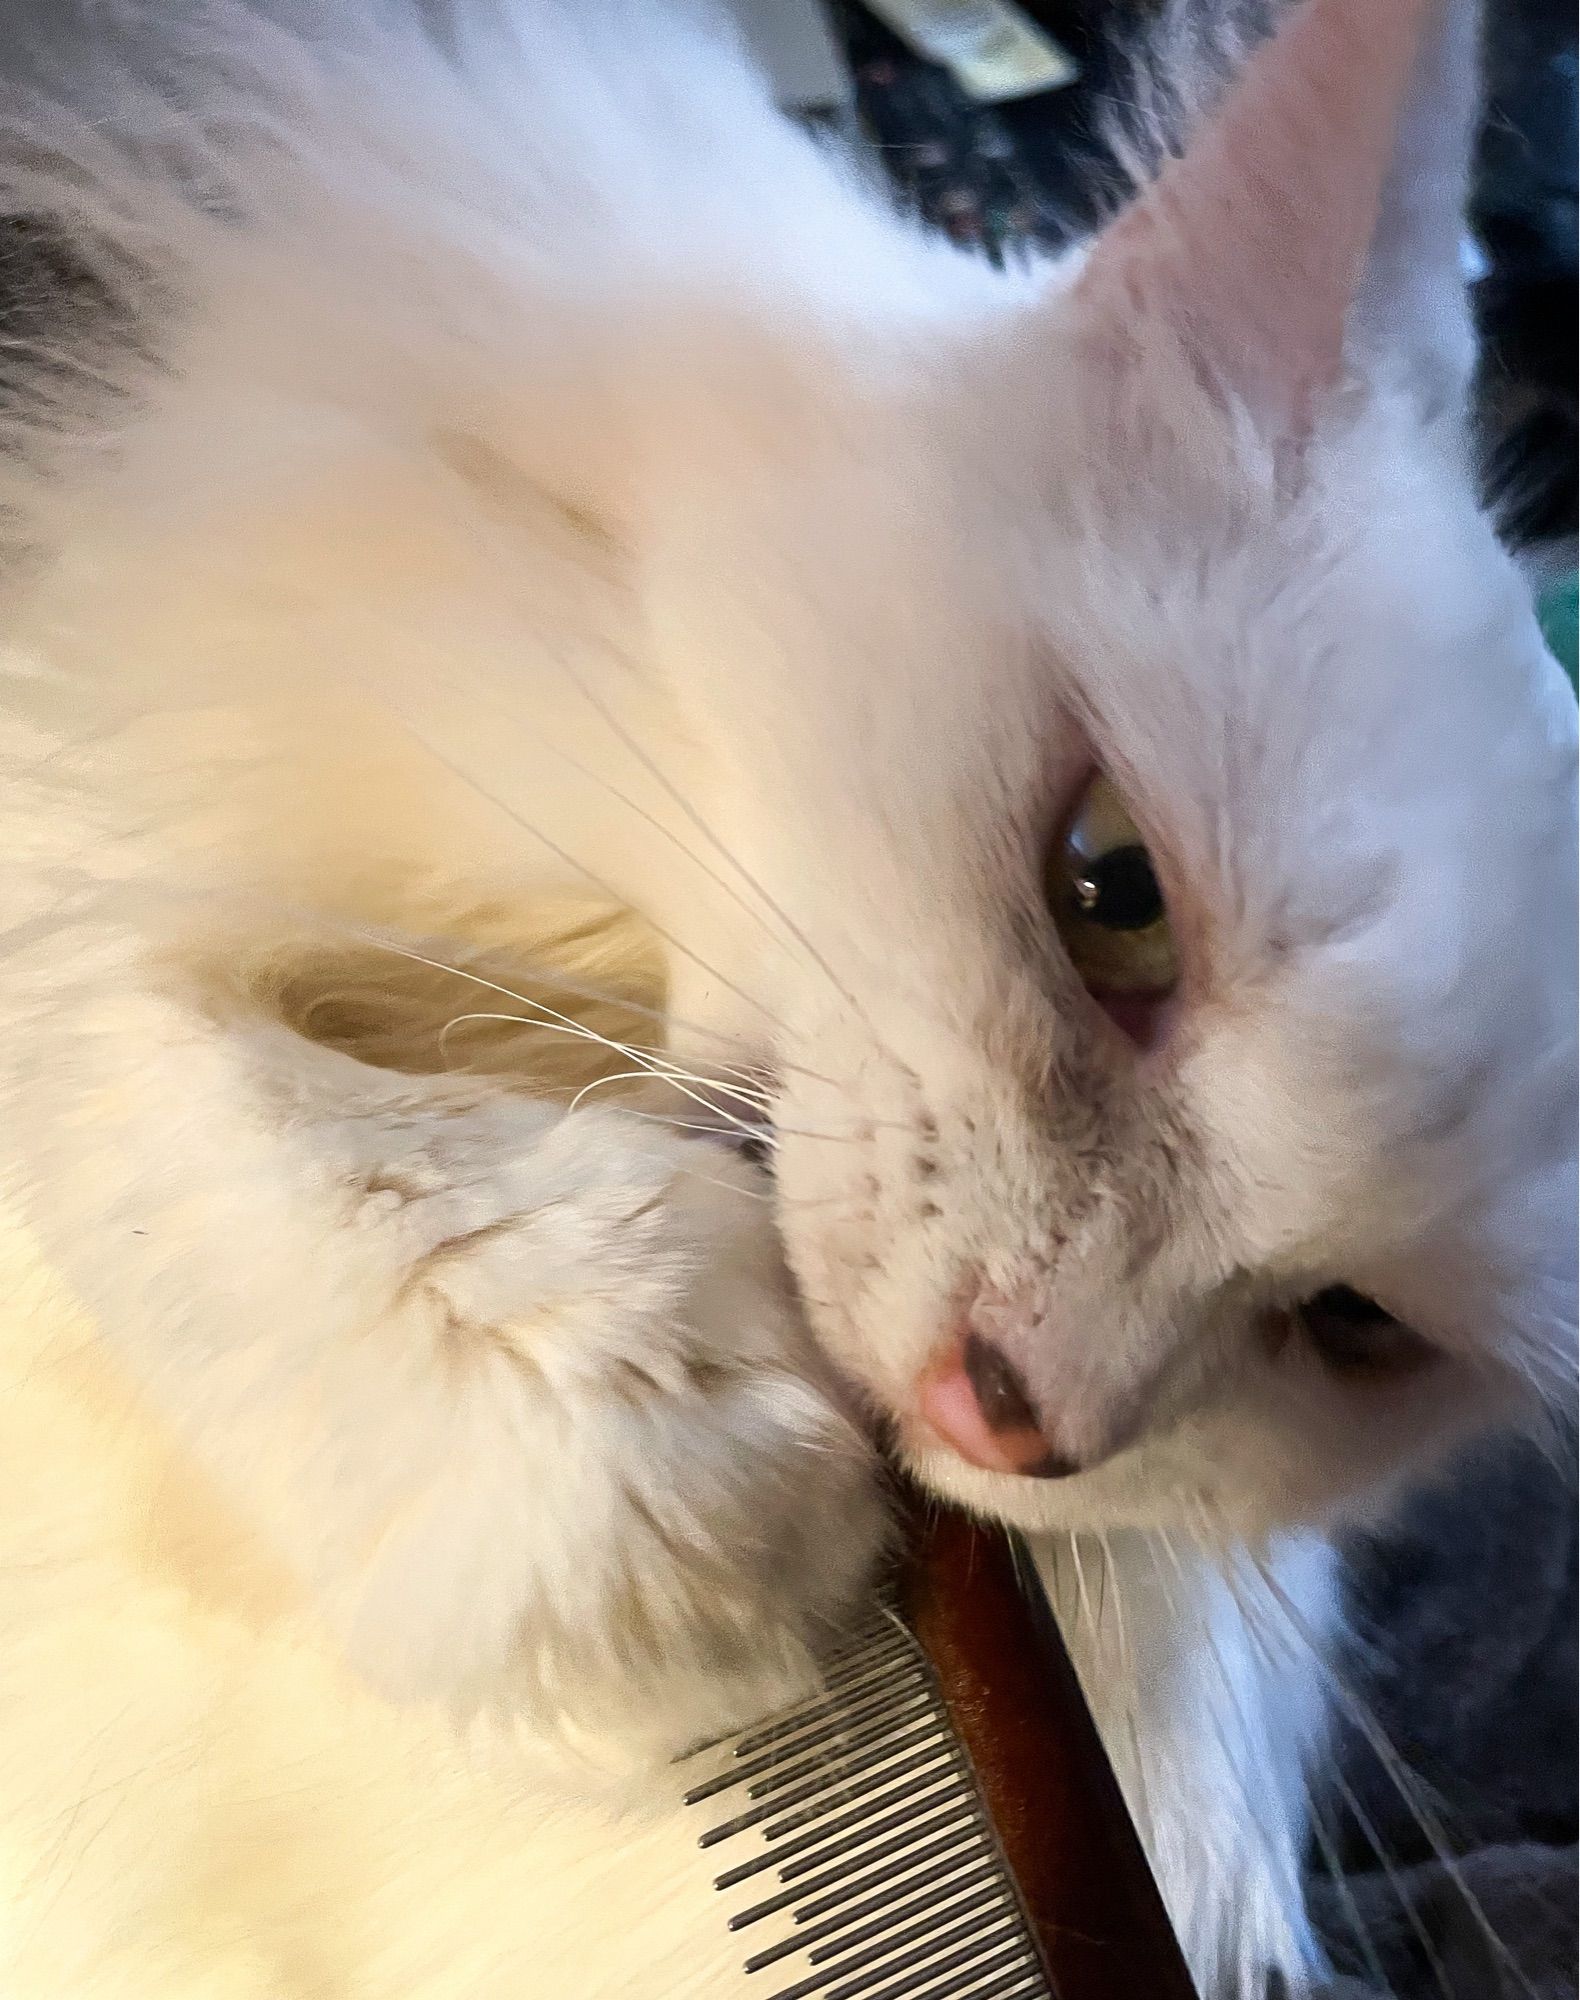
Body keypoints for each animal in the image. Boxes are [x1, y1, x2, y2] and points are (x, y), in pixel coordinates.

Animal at [0, 3, 1568, 2000]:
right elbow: (162, 1083)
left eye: (1358, 1330)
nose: (1013, 1416)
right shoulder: (97, 772)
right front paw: (649, 1482)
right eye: (1111, 893)